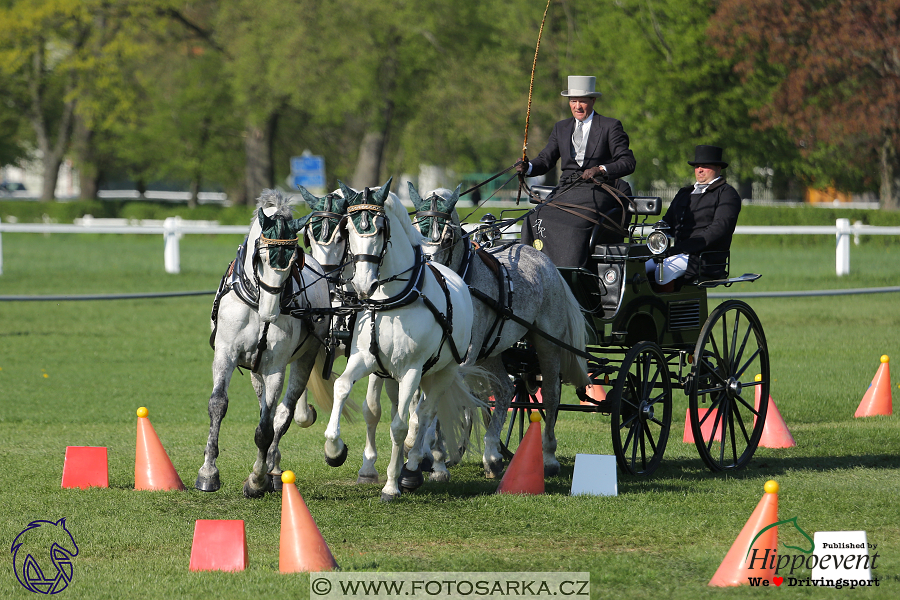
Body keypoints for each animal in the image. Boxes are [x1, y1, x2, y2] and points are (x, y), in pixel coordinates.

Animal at [198, 191, 338, 496]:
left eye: (294, 261)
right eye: (260, 257)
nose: (270, 313)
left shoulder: (276, 366)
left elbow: (266, 428)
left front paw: (257, 480)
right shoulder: (226, 354)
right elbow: (218, 404)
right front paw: (208, 472)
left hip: (303, 360)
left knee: (282, 414)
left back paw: (273, 469)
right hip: (255, 370)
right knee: (267, 406)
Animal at [324, 179, 488, 502]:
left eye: (380, 229)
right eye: (348, 229)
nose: (362, 284)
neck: (392, 301)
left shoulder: (412, 369)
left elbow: (401, 426)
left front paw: (391, 485)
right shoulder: (365, 358)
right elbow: (342, 387)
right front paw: (333, 449)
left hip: (442, 372)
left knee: (425, 415)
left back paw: (412, 468)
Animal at [410, 183, 592, 478]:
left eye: (447, 238)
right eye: (415, 230)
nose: (428, 270)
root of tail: (544, 260)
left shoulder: (463, 359)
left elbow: (439, 402)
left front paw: (431, 455)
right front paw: (433, 458)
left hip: (547, 344)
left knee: (551, 394)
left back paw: (548, 456)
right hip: (492, 351)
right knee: (506, 389)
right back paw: (492, 455)